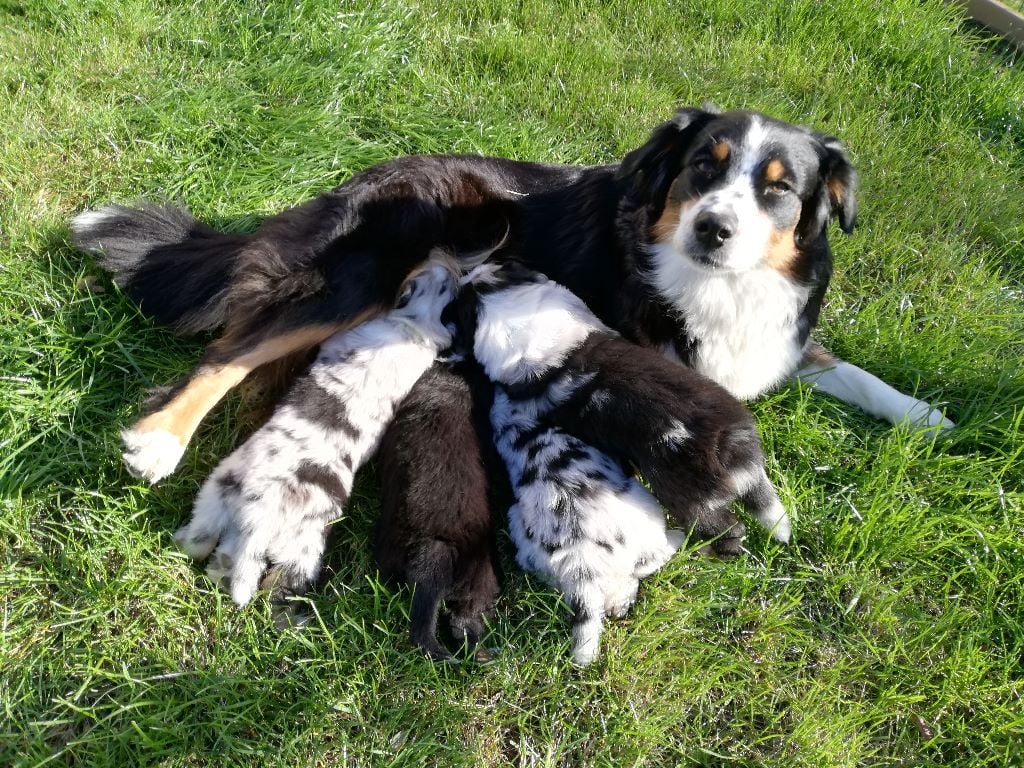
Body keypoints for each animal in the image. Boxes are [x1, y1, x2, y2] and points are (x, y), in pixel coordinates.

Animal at [70, 105, 950, 483]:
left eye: (778, 188)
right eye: (705, 166)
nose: (713, 229)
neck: (714, 282)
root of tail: (349, 183)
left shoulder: (780, 333)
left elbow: (848, 368)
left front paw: (927, 415)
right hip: (359, 276)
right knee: (228, 352)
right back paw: (159, 442)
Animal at [173, 259, 456, 606]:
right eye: (444, 294)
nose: (443, 267)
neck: (413, 328)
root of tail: (261, 520)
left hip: (243, 507)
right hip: (229, 505)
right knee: (206, 547)